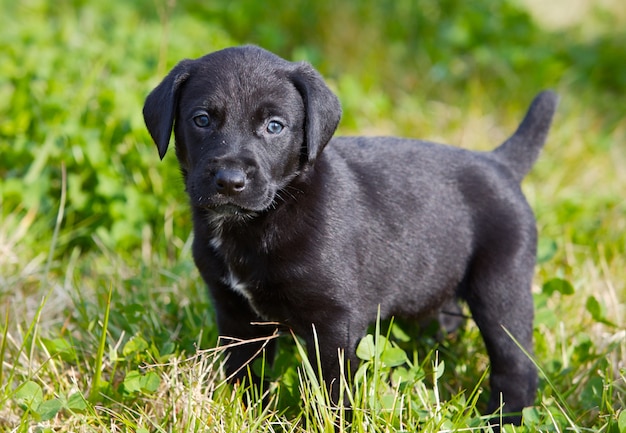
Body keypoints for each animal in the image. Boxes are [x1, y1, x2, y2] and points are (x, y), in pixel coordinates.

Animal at [145, 44, 556, 426]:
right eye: (201, 120)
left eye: (275, 126)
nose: (230, 181)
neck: (266, 219)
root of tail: (499, 163)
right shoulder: (236, 314)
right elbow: (245, 375)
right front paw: (246, 414)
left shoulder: (334, 323)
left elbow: (331, 390)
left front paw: (331, 423)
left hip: (500, 290)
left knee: (516, 367)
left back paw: (504, 419)